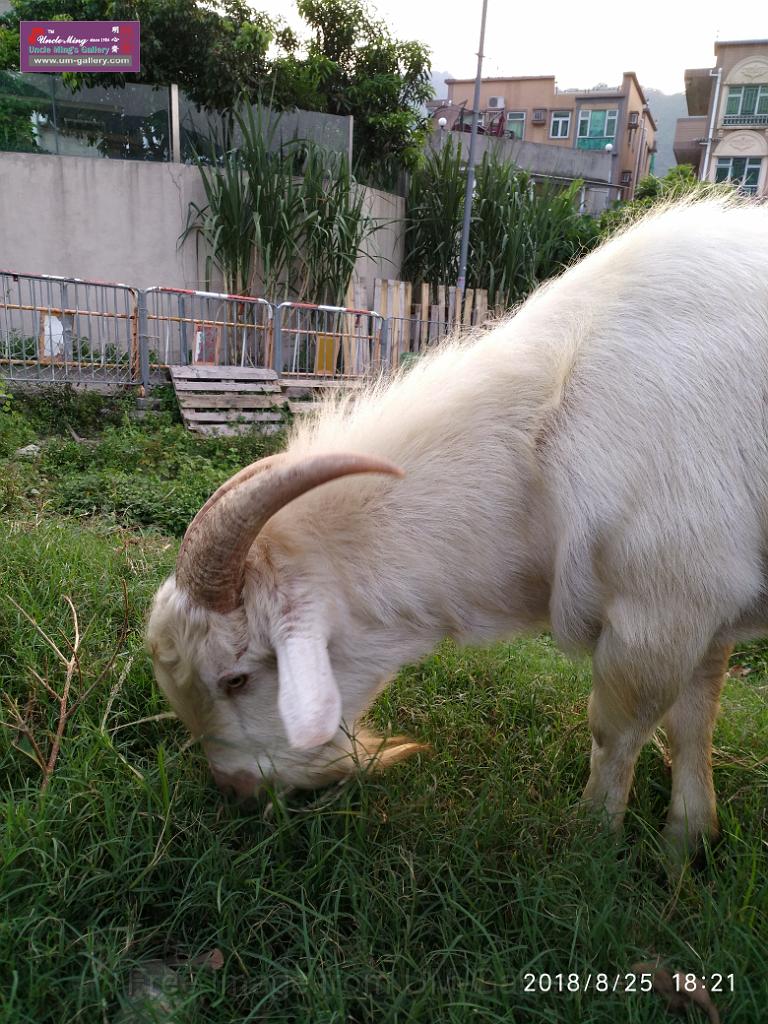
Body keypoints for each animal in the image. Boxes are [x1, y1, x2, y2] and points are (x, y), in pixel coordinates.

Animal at [147, 198, 768, 853]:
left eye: (236, 679)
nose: (234, 790)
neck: (542, 439)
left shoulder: (661, 611)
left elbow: (616, 730)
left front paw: (591, 840)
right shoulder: (708, 612)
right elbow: (694, 719)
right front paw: (687, 842)